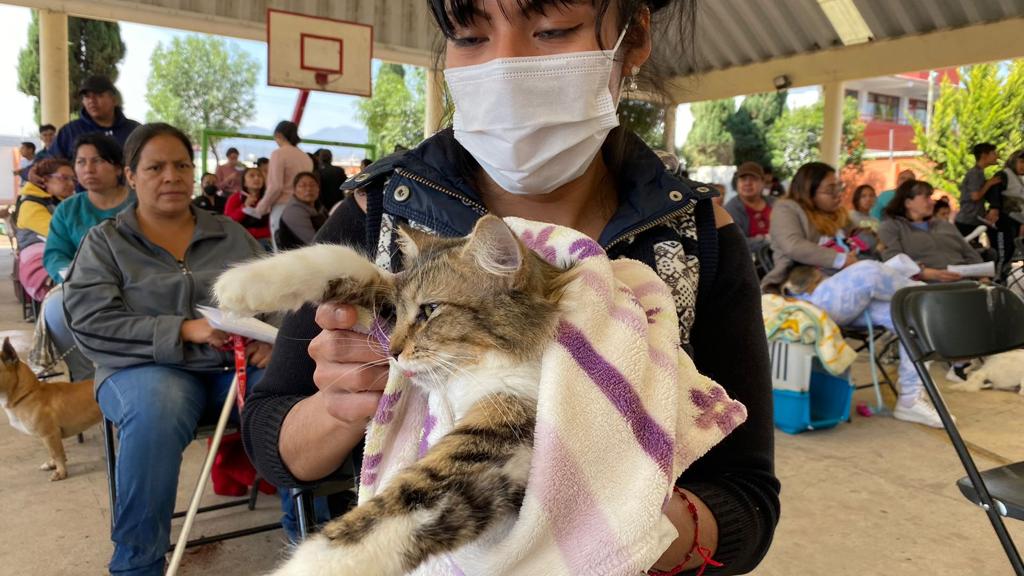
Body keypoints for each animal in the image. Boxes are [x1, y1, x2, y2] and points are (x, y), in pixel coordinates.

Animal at [0, 334, 100, 477]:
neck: (28, 392)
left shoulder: (49, 435)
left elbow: (56, 454)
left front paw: (61, 472)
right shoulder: (48, 438)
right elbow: (54, 453)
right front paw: (52, 465)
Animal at [211, 213, 573, 569]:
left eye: (430, 310)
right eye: (399, 313)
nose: (393, 351)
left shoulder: (502, 439)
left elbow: (400, 504)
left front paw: (307, 565)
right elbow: (361, 268)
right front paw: (243, 283)